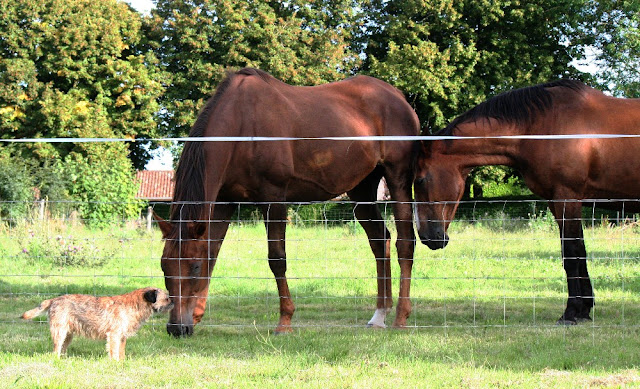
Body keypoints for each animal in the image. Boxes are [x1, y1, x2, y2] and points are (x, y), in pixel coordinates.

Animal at [21, 286, 172, 360]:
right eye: (166, 299)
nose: (174, 303)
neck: (135, 304)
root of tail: (54, 300)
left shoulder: (122, 337)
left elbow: (121, 351)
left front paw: (122, 362)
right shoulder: (114, 335)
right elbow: (114, 351)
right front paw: (115, 363)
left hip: (68, 334)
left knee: (62, 348)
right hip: (60, 331)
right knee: (56, 349)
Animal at [157, 68, 422, 334]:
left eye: (194, 267)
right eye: (164, 266)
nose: (176, 328)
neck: (242, 126)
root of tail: (398, 96)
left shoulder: (273, 199)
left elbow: (277, 258)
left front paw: (285, 320)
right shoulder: (224, 202)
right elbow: (212, 253)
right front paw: (197, 315)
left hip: (397, 178)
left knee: (405, 243)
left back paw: (401, 315)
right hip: (362, 189)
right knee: (380, 240)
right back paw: (380, 314)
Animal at [412, 80, 640, 326]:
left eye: (420, 179)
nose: (427, 237)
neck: (544, 126)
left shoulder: (566, 197)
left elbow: (571, 253)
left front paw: (571, 312)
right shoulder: (557, 201)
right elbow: (579, 251)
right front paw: (584, 309)